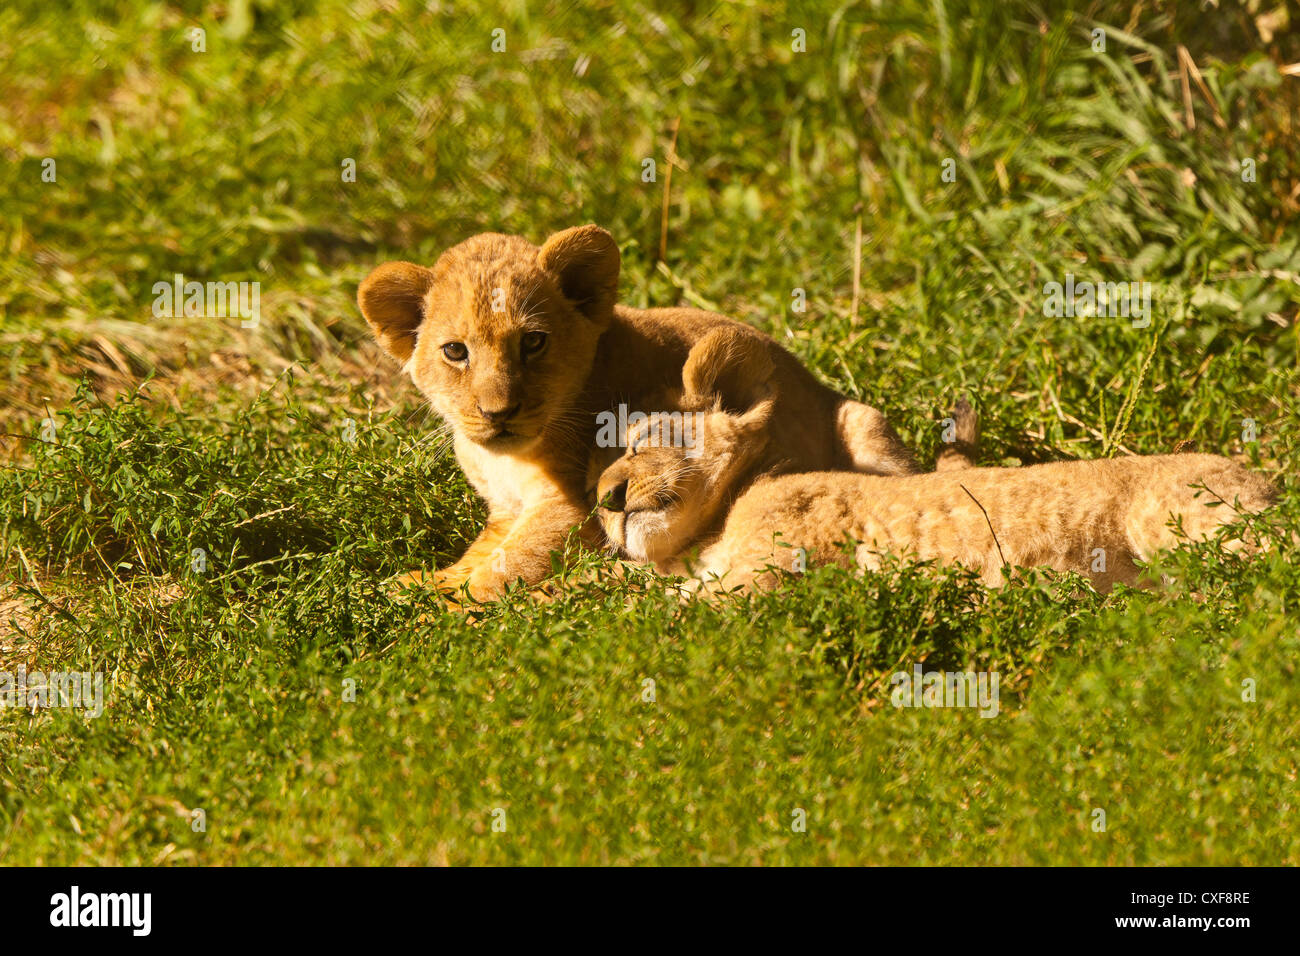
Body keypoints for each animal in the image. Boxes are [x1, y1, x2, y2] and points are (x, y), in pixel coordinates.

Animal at [358, 225, 921, 600]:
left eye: (533, 342)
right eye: (455, 352)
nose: (499, 412)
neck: (504, 461)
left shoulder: (570, 510)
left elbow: (503, 569)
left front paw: (430, 611)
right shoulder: (506, 512)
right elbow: (478, 557)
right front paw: (412, 585)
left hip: (863, 423)